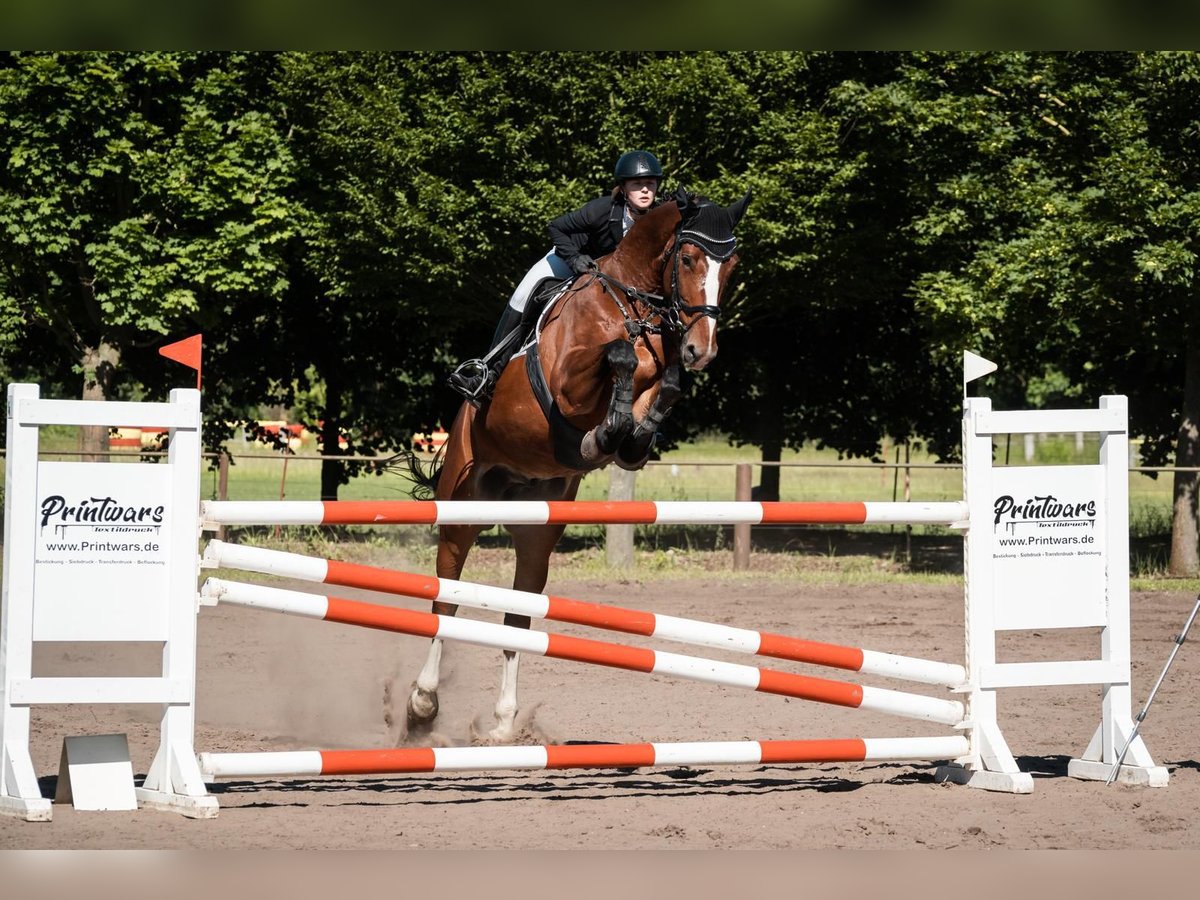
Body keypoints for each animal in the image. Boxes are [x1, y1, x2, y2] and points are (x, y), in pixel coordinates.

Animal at [403, 187, 748, 744]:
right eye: (689, 259)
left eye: (732, 265)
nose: (702, 349)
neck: (635, 306)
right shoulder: (568, 382)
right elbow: (619, 356)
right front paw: (602, 432)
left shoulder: (658, 378)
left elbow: (665, 385)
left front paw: (625, 436)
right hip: (461, 506)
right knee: (446, 597)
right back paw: (421, 706)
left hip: (538, 528)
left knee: (519, 615)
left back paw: (503, 725)